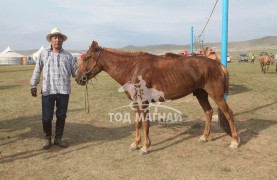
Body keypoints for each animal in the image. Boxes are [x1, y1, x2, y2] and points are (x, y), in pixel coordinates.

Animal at [75, 41, 239, 155]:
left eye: (87, 58)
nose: (77, 78)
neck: (132, 67)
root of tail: (218, 64)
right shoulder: (136, 103)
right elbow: (137, 123)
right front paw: (136, 144)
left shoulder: (144, 103)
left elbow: (145, 124)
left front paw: (145, 147)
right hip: (201, 94)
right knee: (208, 112)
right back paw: (204, 137)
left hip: (217, 95)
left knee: (228, 113)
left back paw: (234, 141)